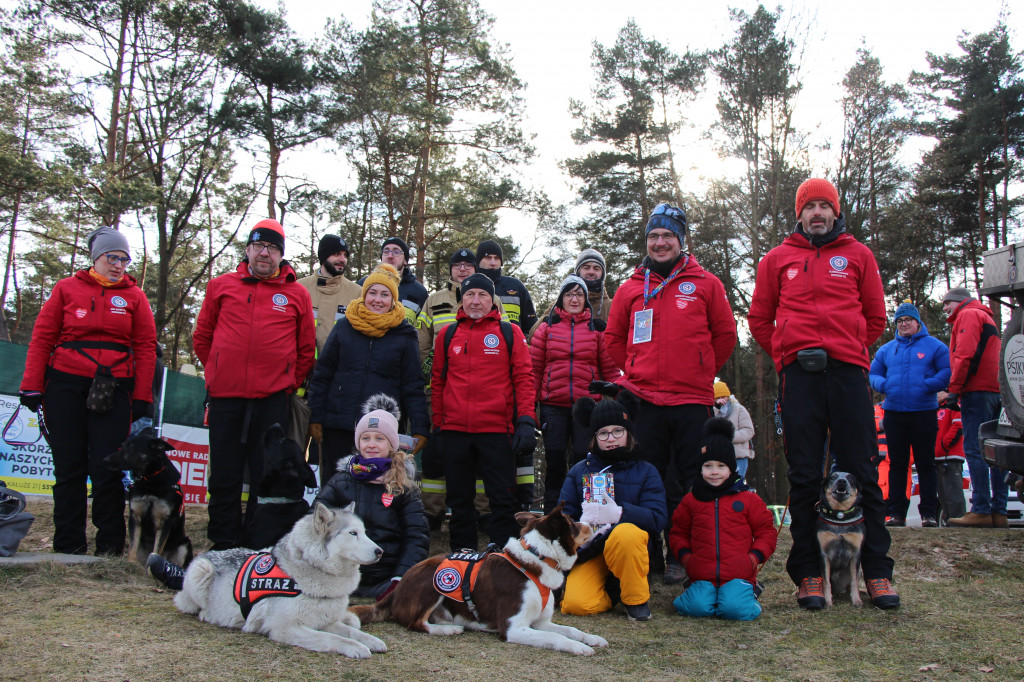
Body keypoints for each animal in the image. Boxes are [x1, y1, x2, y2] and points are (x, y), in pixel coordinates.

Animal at [103, 428, 192, 565]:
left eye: (131, 448)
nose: (106, 460)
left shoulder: (165, 521)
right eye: (122, 446)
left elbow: (157, 548)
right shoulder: (136, 517)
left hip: (185, 544)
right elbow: (133, 547)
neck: (150, 480)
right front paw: (130, 563)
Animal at [815, 471, 864, 602]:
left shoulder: (856, 553)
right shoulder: (823, 554)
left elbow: (854, 581)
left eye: (850, 478)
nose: (842, 481)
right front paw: (827, 601)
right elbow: (826, 582)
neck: (839, 516)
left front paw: (857, 600)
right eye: (833, 477)